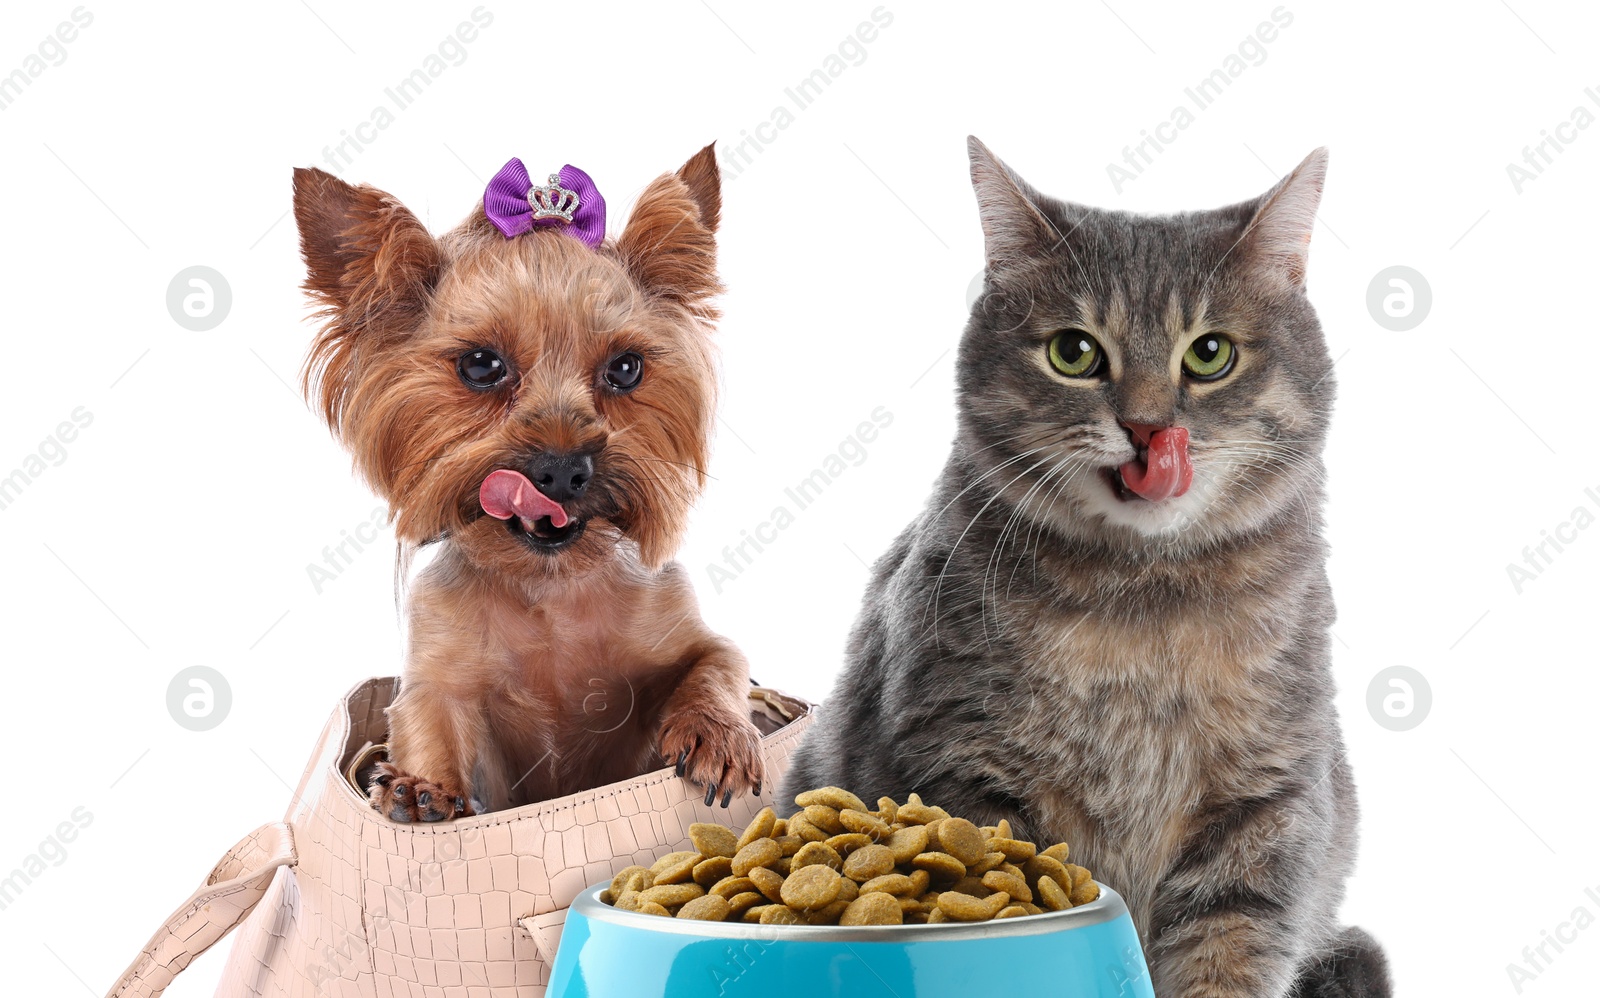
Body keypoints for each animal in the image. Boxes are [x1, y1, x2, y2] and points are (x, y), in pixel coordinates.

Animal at [288, 143, 761, 825]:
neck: (550, 588)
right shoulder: (436, 673)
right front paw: (417, 791)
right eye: (482, 365)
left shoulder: (687, 631)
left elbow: (719, 664)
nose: (563, 468)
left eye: (626, 368)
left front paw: (717, 734)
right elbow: (429, 719)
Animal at [784, 140, 1388, 997]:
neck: (1142, 599)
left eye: (1210, 354)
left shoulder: (1265, 804)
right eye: (1074, 353)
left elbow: (1228, 951)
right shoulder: (963, 768)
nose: (1148, 429)